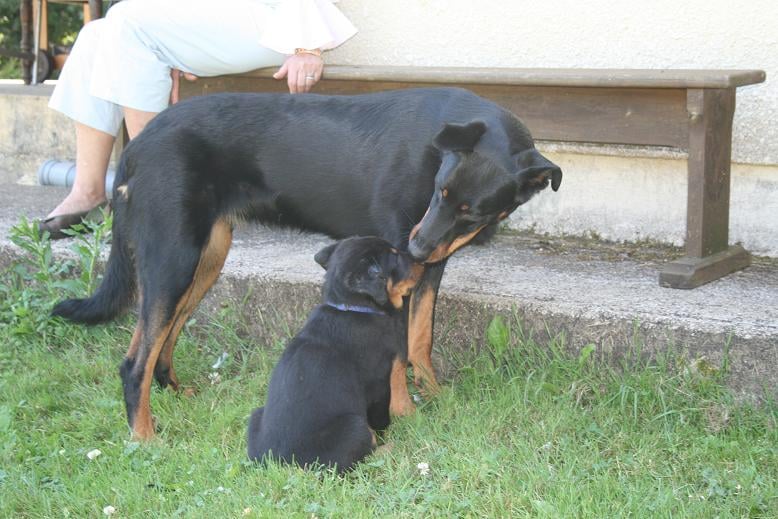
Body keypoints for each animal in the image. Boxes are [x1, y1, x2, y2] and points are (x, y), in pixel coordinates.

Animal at [51, 87, 562, 439]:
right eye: (441, 191)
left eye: (471, 213)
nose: (415, 251)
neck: (434, 152)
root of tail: (136, 144)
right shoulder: (401, 266)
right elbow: (399, 355)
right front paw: (407, 414)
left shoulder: (430, 265)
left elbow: (420, 341)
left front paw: (436, 398)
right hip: (174, 256)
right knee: (134, 360)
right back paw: (145, 436)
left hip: (204, 259)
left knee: (157, 338)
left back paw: (173, 393)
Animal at [247, 236, 421, 473]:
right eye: (394, 256)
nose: (421, 260)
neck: (351, 306)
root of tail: (279, 464)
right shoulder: (380, 380)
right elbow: (383, 413)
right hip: (354, 427)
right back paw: (390, 449)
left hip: (255, 415)